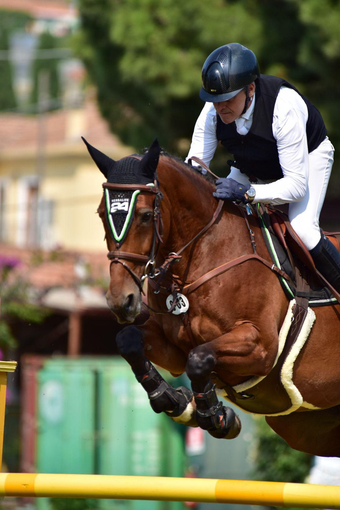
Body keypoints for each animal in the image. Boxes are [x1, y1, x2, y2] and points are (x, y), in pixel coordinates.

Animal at [83, 136, 340, 458]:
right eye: (100, 214)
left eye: (145, 216)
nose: (122, 301)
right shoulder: (173, 350)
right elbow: (129, 340)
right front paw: (173, 400)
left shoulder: (261, 346)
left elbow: (199, 358)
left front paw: (214, 416)